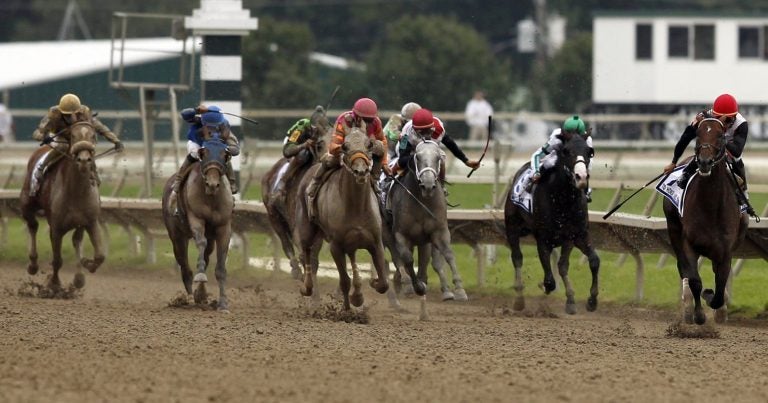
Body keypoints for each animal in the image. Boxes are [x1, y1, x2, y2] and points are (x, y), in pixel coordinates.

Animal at [162, 136, 234, 312]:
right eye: (204, 153)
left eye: (224, 155)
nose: (212, 184)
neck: (212, 198)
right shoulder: (196, 218)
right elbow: (200, 243)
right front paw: (200, 283)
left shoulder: (224, 228)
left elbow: (220, 267)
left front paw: (223, 303)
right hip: (177, 237)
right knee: (185, 268)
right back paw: (189, 297)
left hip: (209, 239)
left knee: (206, 256)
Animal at [294, 128, 390, 310]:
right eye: (345, 146)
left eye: (369, 144)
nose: (361, 171)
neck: (356, 207)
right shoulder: (336, 246)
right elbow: (344, 281)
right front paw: (346, 308)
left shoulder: (376, 243)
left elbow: (383, 283)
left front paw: (369, 285)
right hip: (307, 228)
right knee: (306, 252)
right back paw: (306, 287)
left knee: (351, 258)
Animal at [384, 140, 468, 320]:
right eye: (417, 156)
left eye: (438, 157)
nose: (428, 184)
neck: (422, 202)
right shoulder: (400, 235)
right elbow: (408, 260)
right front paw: (415, 286)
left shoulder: (438, 232)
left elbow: (448, 255)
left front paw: (458, 290)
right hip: (385, 233)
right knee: (396, 258)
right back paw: (404, 286)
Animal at [504, 134, 600, 314]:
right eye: (566, 151)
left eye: (589, 152)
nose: (582, 177)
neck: (563, 200)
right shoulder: (543, 239)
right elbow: (549, 279)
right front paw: (546, 288)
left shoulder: (575, 235)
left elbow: (591, 261)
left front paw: (589, 300)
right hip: (511, 226)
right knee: (517, 257)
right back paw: (519, 299)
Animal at [664, 117, 748, 326]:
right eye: (698, 134)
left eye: (720, 136)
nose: (703, 162)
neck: (711, 208)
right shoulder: (689, 243)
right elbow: (695, 280)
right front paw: (699, 314)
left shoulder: (726, 251)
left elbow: (719, 287)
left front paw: (714, 299)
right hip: (673, 228)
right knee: (683, 268)